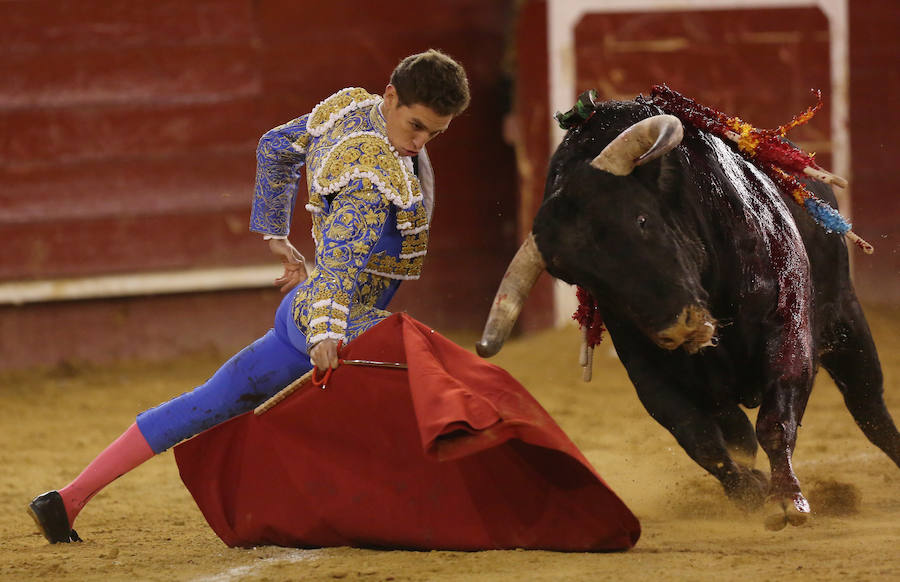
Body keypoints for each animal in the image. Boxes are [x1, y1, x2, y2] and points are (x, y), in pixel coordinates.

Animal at [482, 93, 900, 532]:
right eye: (577, 276)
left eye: (642, 219)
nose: (679, 327)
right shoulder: (650, 372)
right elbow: (700, 441)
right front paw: (750, 492)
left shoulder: (789, 324)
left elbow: (774, 420)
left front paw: (787, 500)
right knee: (736, 429)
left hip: (844, 319)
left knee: (869, 407)